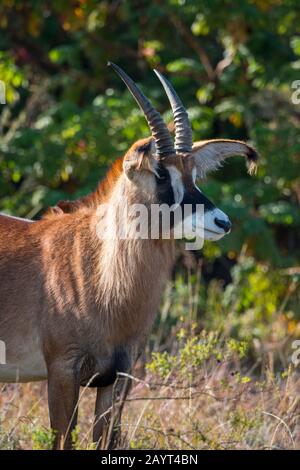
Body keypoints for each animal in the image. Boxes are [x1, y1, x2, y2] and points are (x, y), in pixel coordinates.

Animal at [0, 62, 258, 448]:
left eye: (194, 175)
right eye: (161, 174)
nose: (222, 222)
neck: (101, 272)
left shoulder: (119, 375)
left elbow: (105, 439)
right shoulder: (62, 369)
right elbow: (64, 439)